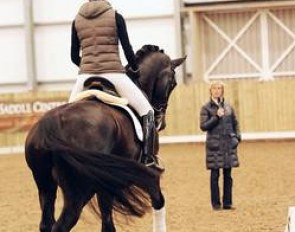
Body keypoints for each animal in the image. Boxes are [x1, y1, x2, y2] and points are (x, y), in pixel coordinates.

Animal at [26, 44, 187, 231]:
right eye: (173, 83)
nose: (162, 121)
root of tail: (50, 126)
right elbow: (156, 200)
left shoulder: (106, 183)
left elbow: (107, 223)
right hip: (79, 190)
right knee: (63, 223)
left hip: (45, 184)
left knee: (46, 223)